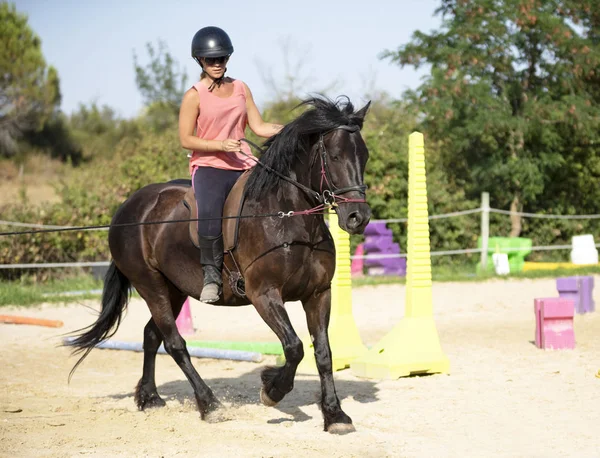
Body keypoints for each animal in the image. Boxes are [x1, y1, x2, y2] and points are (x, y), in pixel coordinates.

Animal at [69, 95, 370, 432]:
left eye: (365, 156)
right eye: (334, 156)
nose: (358, 218)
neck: (288, 218)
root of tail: (127, 209)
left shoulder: (318, 294)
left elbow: (323, 353)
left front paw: (335, 415)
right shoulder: (264, 294)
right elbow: (294, 347)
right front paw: (271, 390)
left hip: (174, 290)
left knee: (151, 336)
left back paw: (150, 397)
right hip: (150, 285)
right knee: (174, 342)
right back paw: (209, 404)